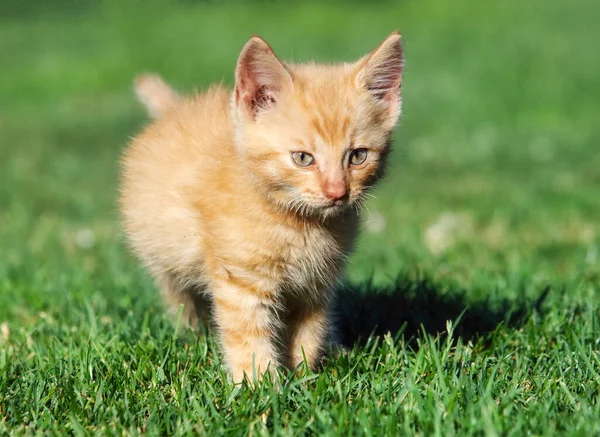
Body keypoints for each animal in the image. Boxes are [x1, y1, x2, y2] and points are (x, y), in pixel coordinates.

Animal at [119, 33, 406, 382]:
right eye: (302, 158)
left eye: (358, 156)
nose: (337, 192)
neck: (299, 225)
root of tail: (177, 108)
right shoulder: (241, 281)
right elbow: (249, 336)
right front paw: (259, 386)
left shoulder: (315, 285)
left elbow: (309, 332)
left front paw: (303, 376)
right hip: (167, 259)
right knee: (180, 300)